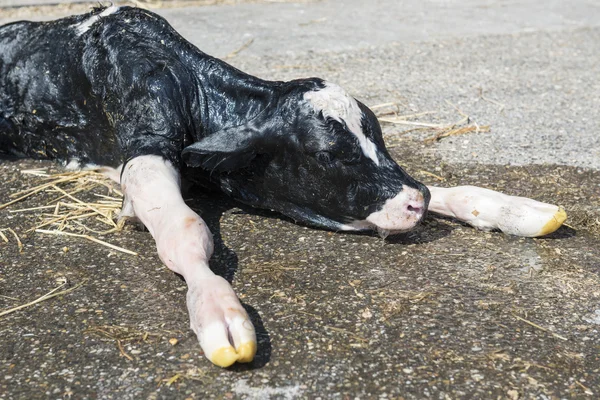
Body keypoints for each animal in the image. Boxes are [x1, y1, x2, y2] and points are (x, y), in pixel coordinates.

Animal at [0, 7, 564, 368]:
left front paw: (516, 209)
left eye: (378, 134)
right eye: (326, 154)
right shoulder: (144, 145)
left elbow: (450, 187)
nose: (413, 204)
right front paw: (219, 313)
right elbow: (184, 228)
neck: (188, 79)